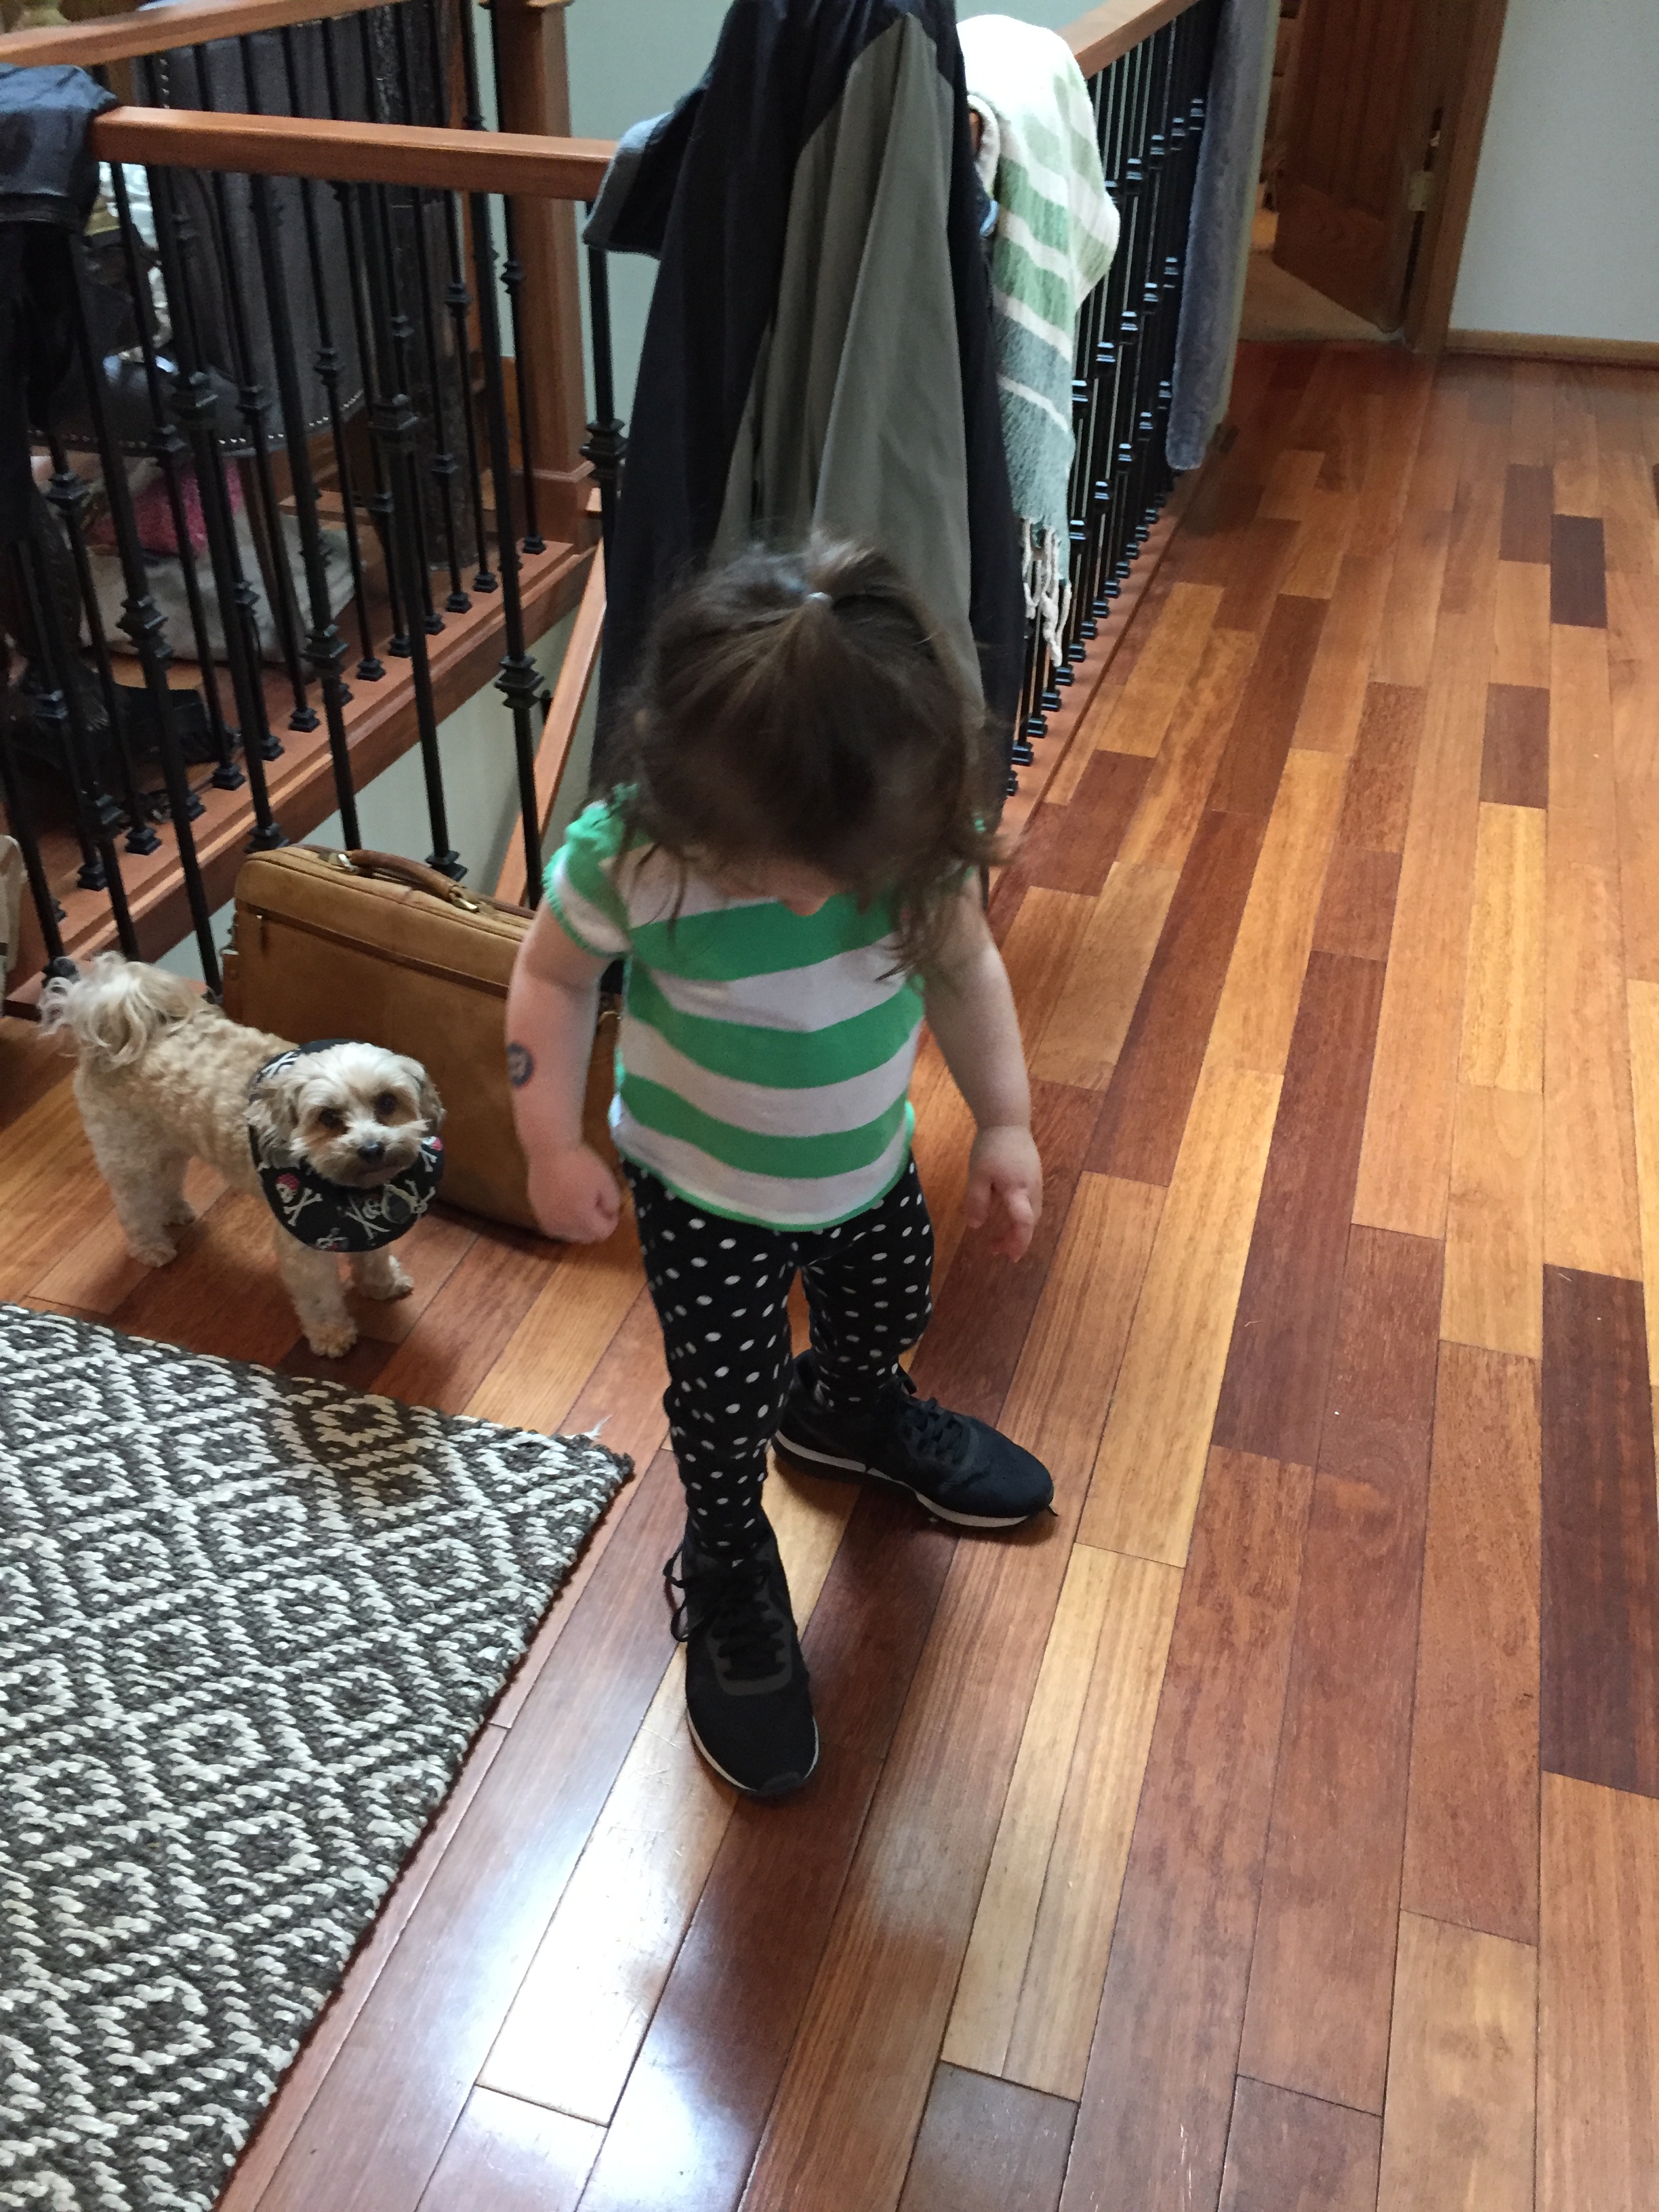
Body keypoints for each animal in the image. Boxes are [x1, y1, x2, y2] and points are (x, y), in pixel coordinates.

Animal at [40, 956, 443, 1358]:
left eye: (387, 1102)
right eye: (328, 1117)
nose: (372, 1148)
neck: (353, 1193)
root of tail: (116, 1036)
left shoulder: (370, 1228)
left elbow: (375, 1258)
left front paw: (383, 1285)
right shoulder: (303, 1249)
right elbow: (320, 1298)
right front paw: (332, 1336)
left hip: (169, 1141)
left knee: (167, 1181)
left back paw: (176, 1212)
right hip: (129, 1154)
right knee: (135, 1205)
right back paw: (151, 1247)